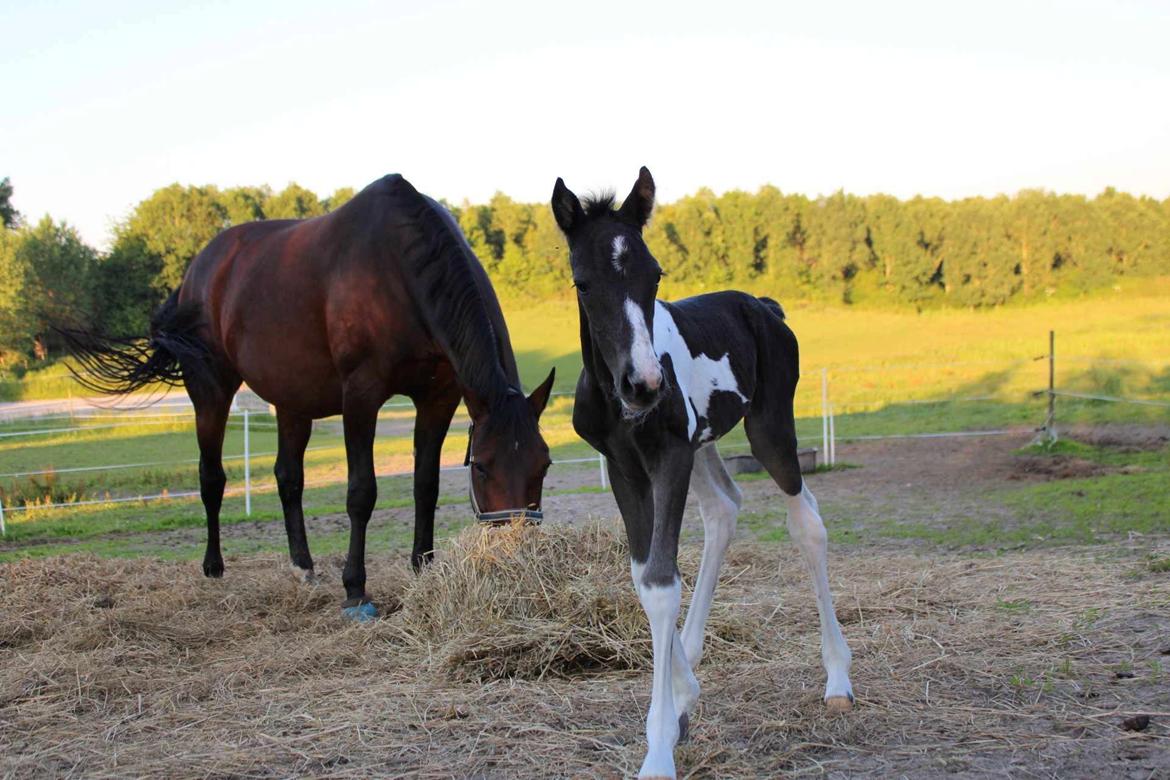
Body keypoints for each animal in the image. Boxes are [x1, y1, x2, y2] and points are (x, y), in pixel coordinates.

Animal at [65, 174, 556, 617]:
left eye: (544, 465)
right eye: (483, 466)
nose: (515, 551)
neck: (397, 269)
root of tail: (196, 272)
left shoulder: (438, 397)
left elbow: (425, 485)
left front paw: (424, 567)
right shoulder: (361, 396)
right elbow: (361, 492)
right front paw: (355, 589)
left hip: (291, 402)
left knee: (288, 478)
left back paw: (302, 566)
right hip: (211, 391)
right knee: (212, 477)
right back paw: (214, 567)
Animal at [552, 169, 856, 776]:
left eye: (654, 274)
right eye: (583, 283)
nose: (645, 385)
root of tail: (764, 306)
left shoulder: (669, 455)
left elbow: (660, 581)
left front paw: (658, 751)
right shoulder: (624, 466)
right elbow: (643, 573)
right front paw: (680, 702)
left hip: (769, 431)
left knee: (806, 521)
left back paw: (838, 678)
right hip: (705, 445)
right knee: (724, 509)